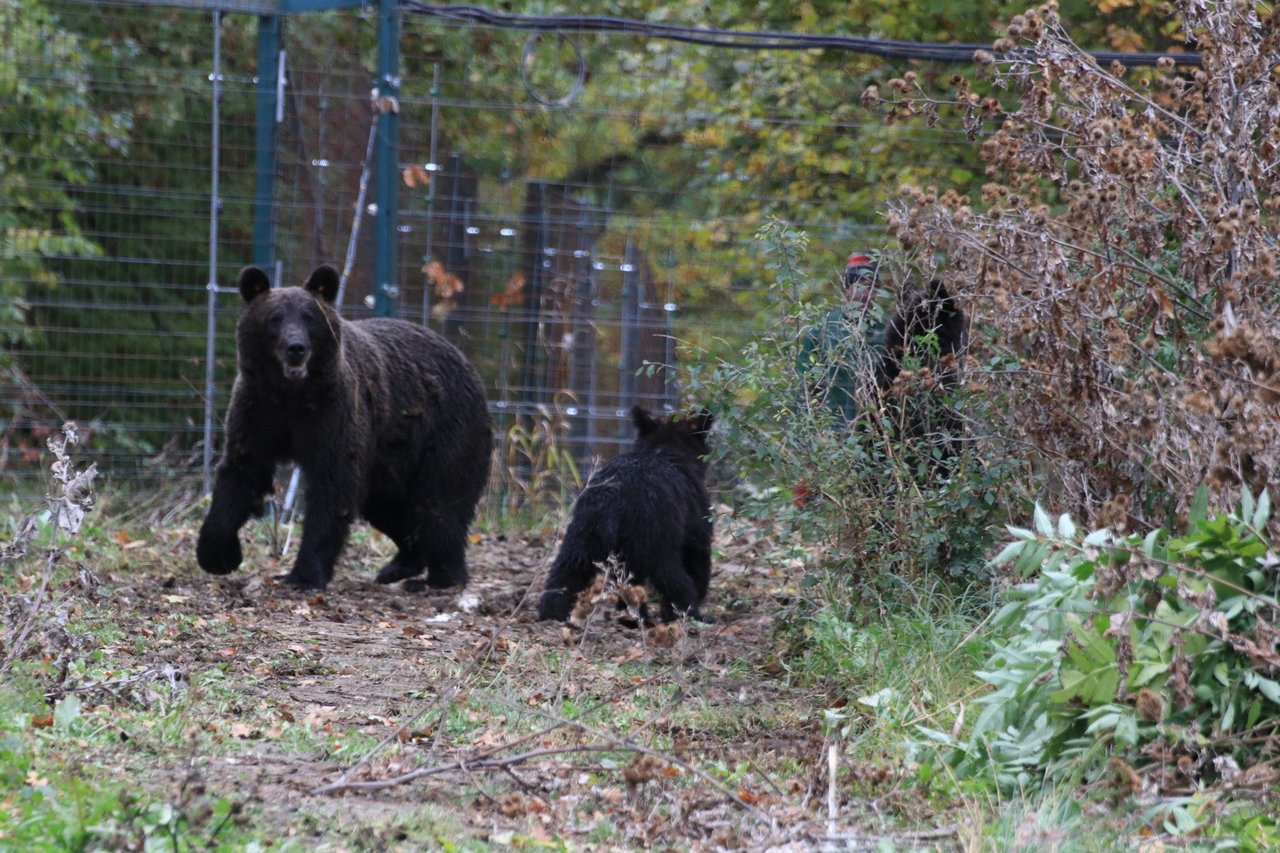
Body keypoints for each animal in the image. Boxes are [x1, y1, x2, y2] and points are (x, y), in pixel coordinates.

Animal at [197, 266, 491, 591]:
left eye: (309, 317)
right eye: (275, 317)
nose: (296, 348)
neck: (292, 395)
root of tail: (468, 365)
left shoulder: (334, 411)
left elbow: (333, 485)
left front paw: (302, 575)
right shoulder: (258, 410)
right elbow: (242, 472)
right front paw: (219, 555)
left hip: (446, 433)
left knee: (438, 505)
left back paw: (439, 578)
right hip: (388, 461)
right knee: (388, 507)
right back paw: (399, 566)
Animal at [537, 402, 721, 622]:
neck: (664, 450)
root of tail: (613, 497)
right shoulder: (696, 527)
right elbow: (698, 561)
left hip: (583, 534)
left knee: (568, 570)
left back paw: (553, 612)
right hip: (655, 540)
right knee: (671, 579)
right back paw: (685, 613)